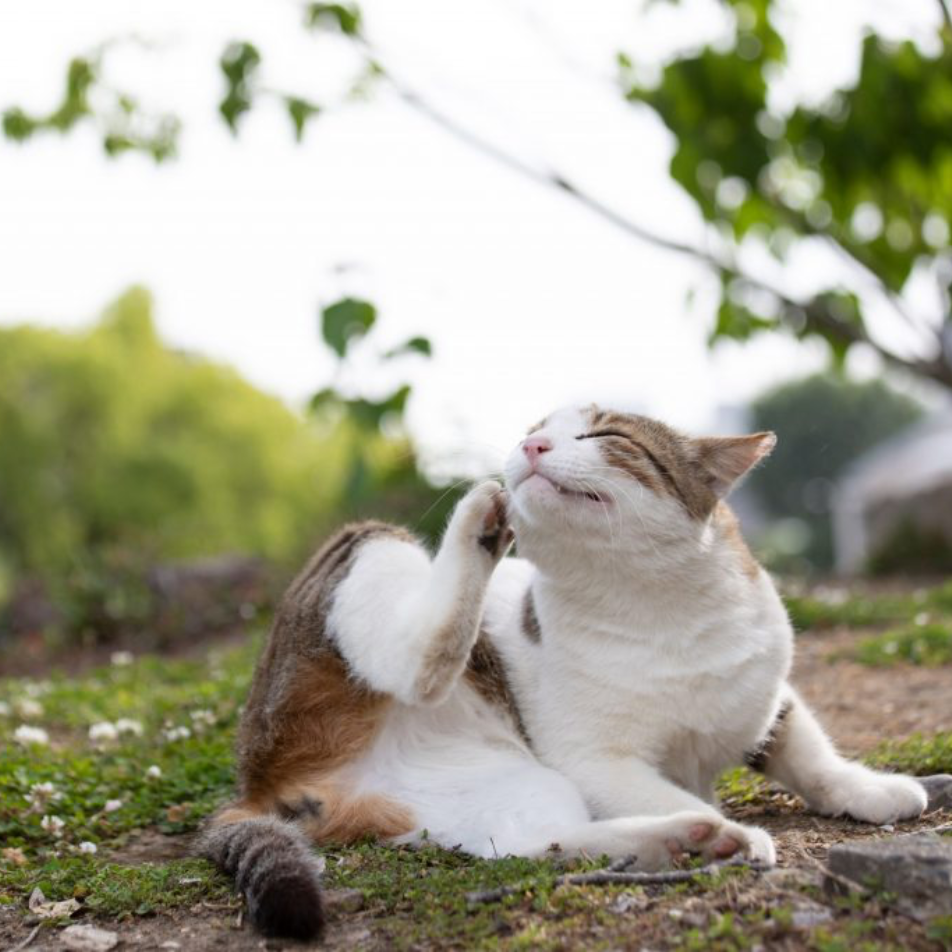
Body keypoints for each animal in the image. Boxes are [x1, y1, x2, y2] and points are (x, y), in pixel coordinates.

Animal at [199, 406, 928, 940]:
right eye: (534, 430)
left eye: (604, 434)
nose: (531, 446)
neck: (662, 611)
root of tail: (256, 782)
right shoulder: (596, 762)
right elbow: (671, 788)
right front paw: (735, 830)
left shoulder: (765, 693)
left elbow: (809, 751)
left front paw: (870, 789)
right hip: (359, 564)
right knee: (417, 662)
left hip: (495, 785)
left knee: (535, 843)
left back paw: (677, 843)